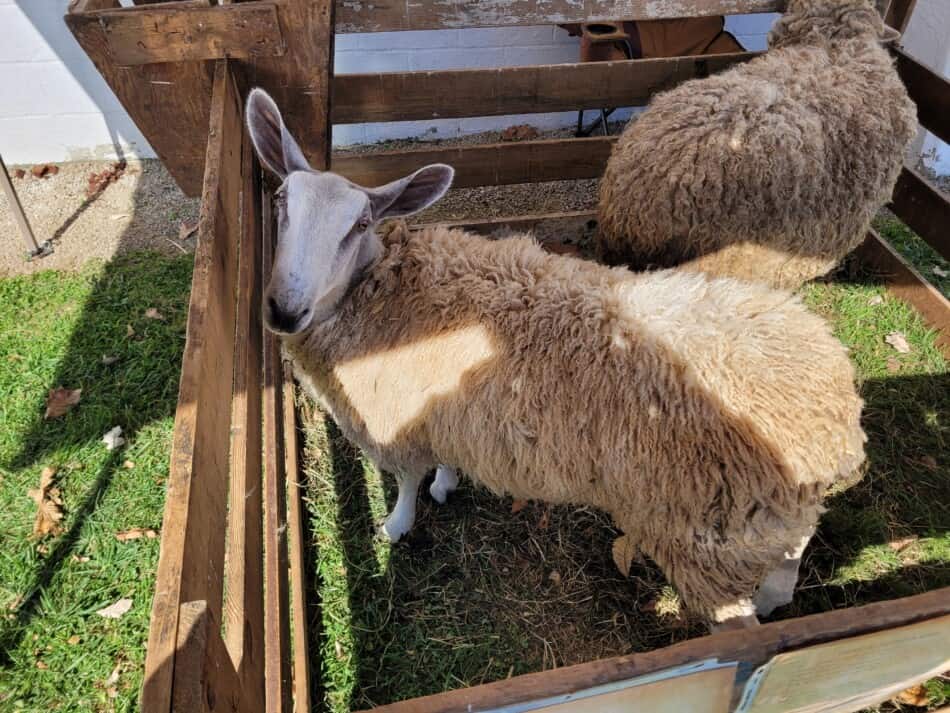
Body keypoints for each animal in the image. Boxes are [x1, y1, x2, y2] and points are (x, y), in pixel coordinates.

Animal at [247, 89, 872, 628]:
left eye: (359, 225)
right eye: (280, 201)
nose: (283, 309)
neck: (379, 289)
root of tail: (833, 409)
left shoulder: (394, 417)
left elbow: (405, 479)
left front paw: (398, 524)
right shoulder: (443, 410)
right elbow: (440, 459)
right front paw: (448, 482)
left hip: (706, 538)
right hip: (764, 519)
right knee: (793, 549)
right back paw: (776, 597)